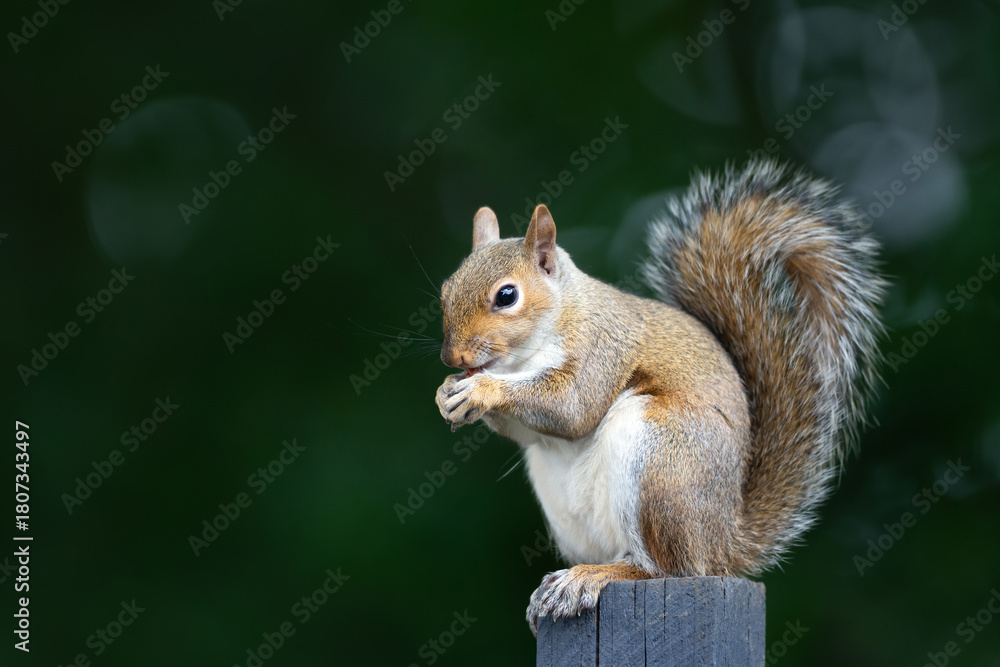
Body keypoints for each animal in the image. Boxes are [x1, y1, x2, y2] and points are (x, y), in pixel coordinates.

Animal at [434, 159, 885, 634]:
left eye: (507, 295)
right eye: (446, 291)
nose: (452, 356)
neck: (525, 354)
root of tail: (722, 544)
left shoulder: (602, 348)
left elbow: (574, 407)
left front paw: (482, 390)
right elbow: (528, 433)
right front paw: (448, 393)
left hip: (662, 458)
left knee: (665, 567)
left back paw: (596, 576)